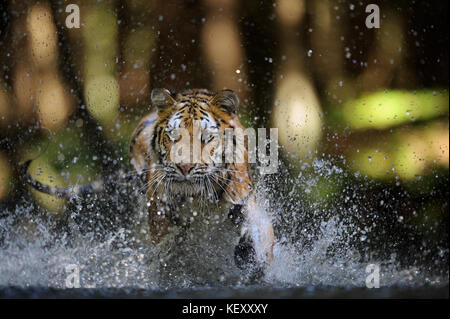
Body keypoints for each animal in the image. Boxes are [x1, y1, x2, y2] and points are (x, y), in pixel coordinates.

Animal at [22, 89, 276, 282]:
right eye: (173, 136)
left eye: (205, 137)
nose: (185, 167)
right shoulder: (162, 221)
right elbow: (169, 254)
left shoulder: (245, 201)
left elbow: (263, 234)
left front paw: (254, 261)